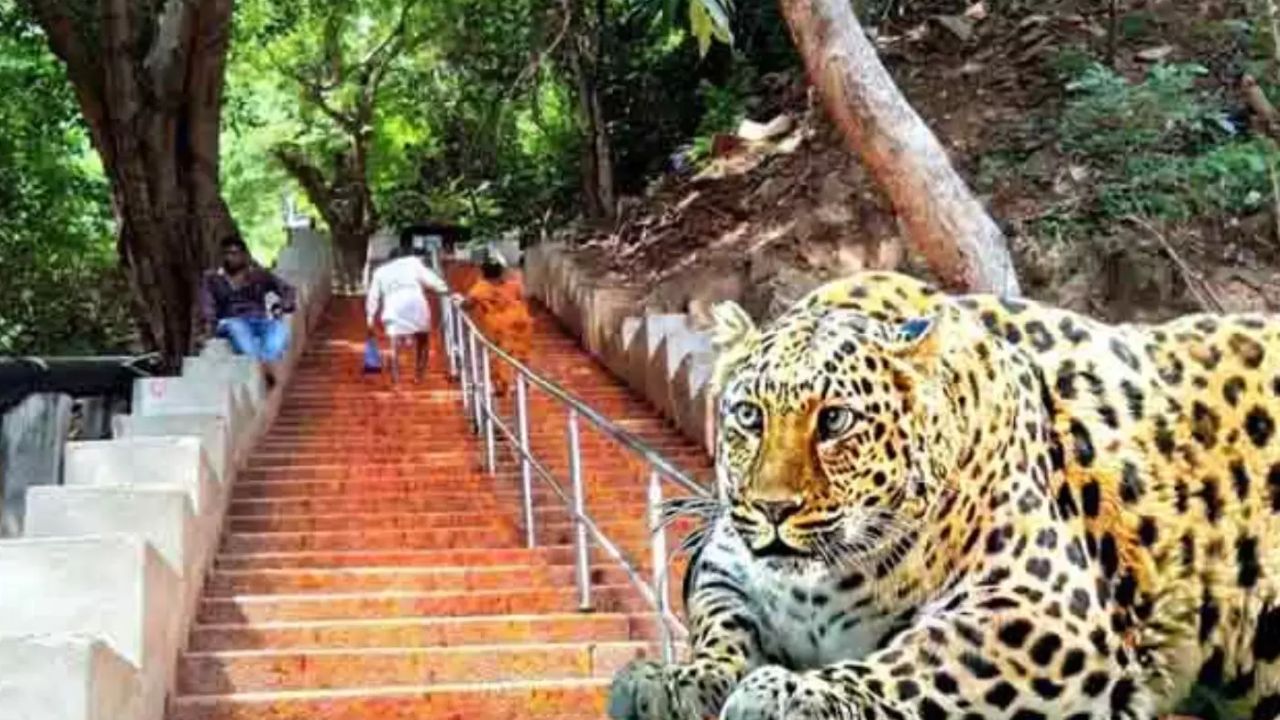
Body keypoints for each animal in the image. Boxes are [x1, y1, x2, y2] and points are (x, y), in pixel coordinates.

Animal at [608, 270, 1280, 720]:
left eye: (835, 421)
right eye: (749, 415)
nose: (774, 509)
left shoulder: (1045, 608)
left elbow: (926, 659)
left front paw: (794, 693)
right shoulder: (728, 565)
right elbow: (724, 624)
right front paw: (676, 681)